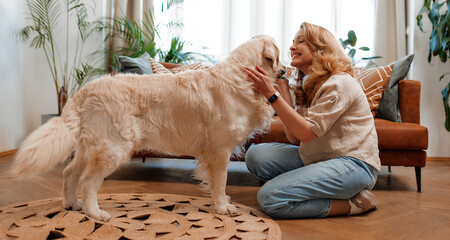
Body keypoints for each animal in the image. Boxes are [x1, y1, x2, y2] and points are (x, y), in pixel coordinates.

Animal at [10, 33, 280, 221]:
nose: (286, 69)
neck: (242, 77)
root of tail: (87, 88)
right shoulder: (219, 149)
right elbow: (220, 180)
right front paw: (223, 207)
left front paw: (222, 201)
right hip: (113, 148)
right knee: (87, 181)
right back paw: (95, 213)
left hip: (89, 147)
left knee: (69, 173)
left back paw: (72, 204)